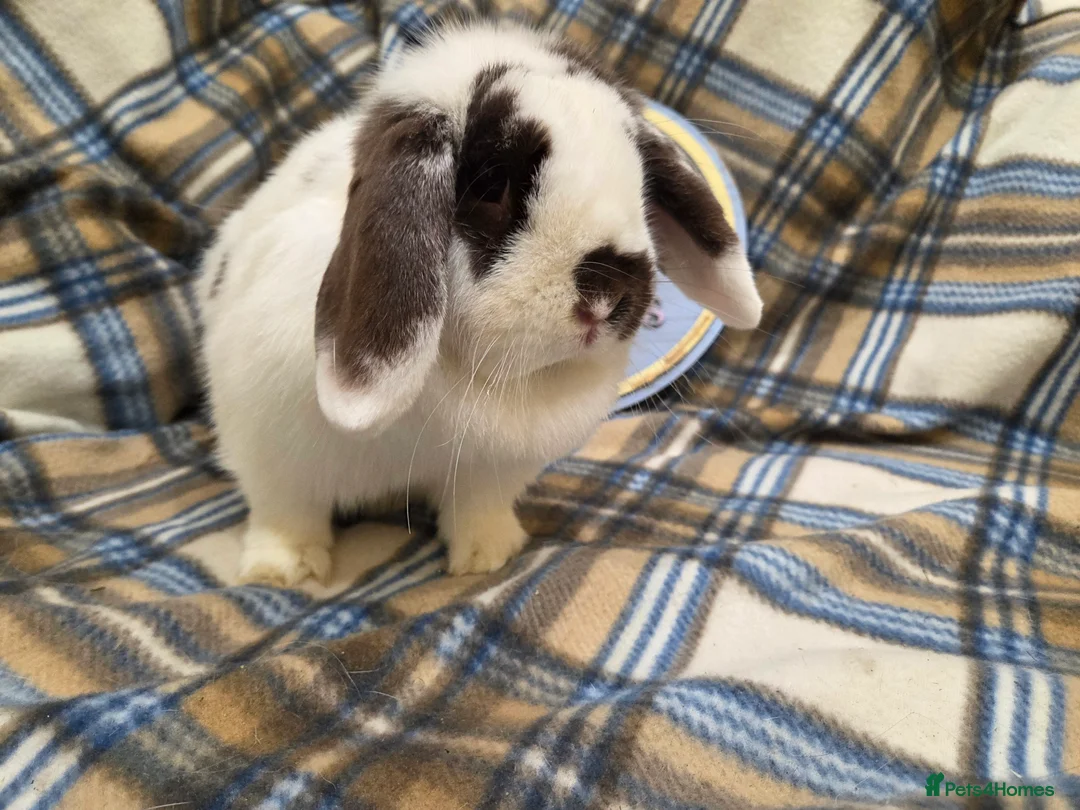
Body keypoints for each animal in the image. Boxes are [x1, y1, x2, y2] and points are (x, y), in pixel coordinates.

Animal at [195, 20, 763, 586]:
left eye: (642, 185)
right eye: (493, 186)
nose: (608, 296)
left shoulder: (490, 470)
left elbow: (477, 510)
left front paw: (489, 557)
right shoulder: (271, 449)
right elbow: (287, 512)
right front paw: (283, 571)